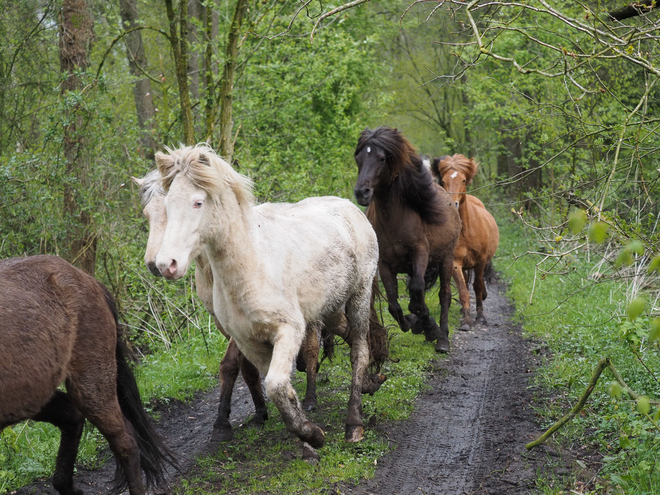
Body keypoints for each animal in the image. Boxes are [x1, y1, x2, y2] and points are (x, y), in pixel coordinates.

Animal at [356, 127, 458, 352]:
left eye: (382, 158)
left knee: (444, 295)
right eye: (358, 159)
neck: (394, 220)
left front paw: (431, 327)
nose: (361, 192)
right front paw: (414, 322)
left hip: (446, 259)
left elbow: (418, 290)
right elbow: (394, 304)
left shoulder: (420, 252)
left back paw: (443, 339)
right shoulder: (384, 263)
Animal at [430, 153, 498, 332]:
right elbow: (463, 290)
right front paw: (467, 320)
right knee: (466, 282)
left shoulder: (481, 261)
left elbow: (478, 286)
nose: (452, 204)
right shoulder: (455, 263)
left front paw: (480, 317)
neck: (466, 232)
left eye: (463, 180)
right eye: (443, 181)